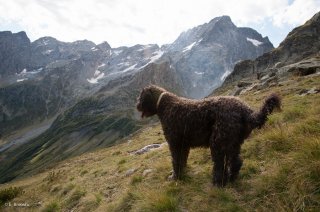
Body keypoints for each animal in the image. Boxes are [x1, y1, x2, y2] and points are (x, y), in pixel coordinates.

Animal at [136, 85, 282, 186]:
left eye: (141, 97)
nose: (136, 106)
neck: (165, 105)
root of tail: (245, 110)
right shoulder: (184, 145)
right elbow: (182, 160)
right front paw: (183, 173)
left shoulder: (175, 144)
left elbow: (176, 161)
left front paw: (175, 177)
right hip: (233, 143)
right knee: (236, 162)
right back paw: (232, 178)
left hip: (217, 143)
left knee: (219, 165)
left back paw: (218, 182)